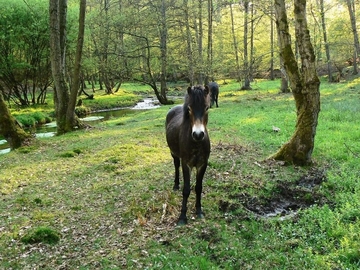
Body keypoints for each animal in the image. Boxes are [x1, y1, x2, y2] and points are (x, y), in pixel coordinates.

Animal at [166, 85, 211, 225]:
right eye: (190, 109)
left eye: (207, 108)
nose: (198, 134)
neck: (196, 144)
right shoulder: (186, 164)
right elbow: (186, 190)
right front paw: (182, 217)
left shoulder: (202, 164)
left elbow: (198, 187)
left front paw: (199, 211)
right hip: (174, 153)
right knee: (176, 166)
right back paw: (176, 185)